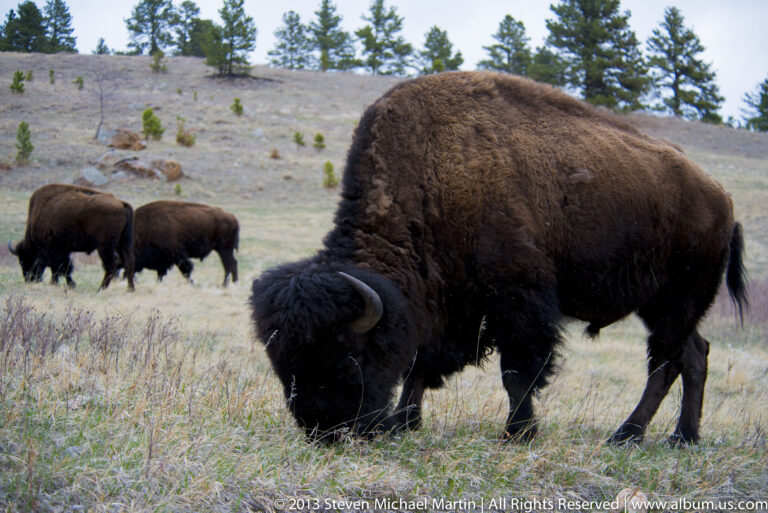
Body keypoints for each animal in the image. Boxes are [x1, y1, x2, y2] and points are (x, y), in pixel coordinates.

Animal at [250, 72, 748, 445]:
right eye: (281, 361)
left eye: (348, 354)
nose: (323, 430)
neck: (434, 174)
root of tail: (722, 198)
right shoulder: (444, 306)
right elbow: (420, 364)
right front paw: (404, 423)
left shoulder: (517, 302)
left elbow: (518, 372)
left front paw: (517, 433)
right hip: (664, 305)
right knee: (694, 354)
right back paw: (682, 437)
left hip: (676, 300)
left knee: (665, 363)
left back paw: (627, 435)